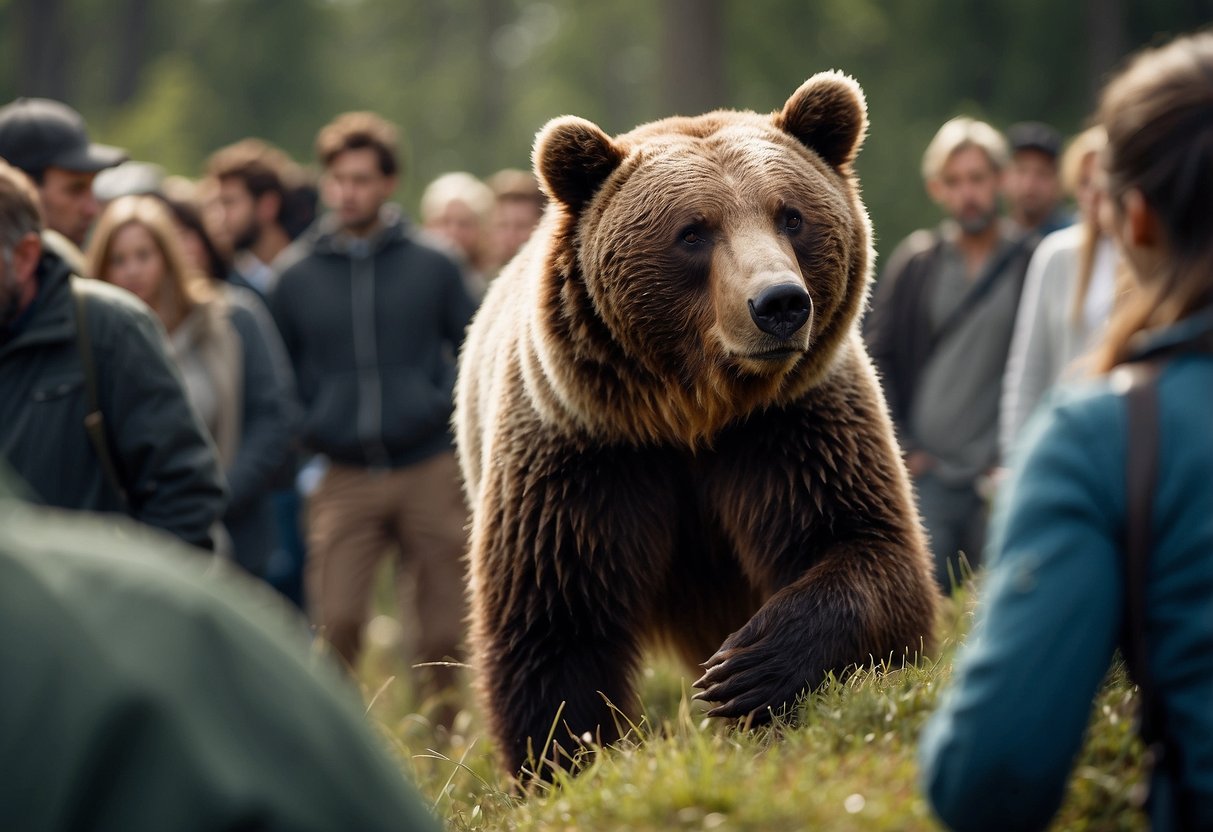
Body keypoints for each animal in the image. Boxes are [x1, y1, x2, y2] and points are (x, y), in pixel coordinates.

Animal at [456, 71, 936, 781]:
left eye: (792, 215)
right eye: (692, 232)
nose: (779, 303)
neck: (693, 412)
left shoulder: (793, 430)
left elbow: (867, 547)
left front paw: (750, 667)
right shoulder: (585, 455)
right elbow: (553, 621)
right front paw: (564, 763)